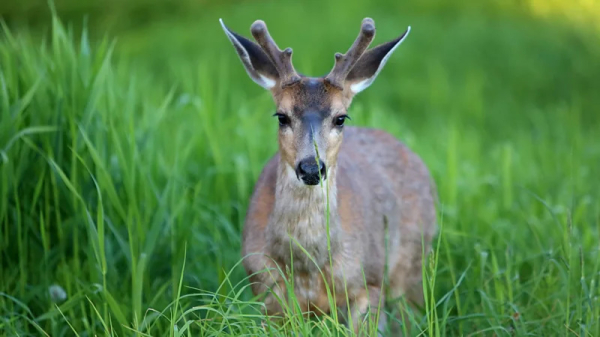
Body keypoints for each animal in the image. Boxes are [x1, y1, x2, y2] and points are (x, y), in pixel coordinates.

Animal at [220, 16, 436, 334]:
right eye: (281, 116)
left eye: (340, 118)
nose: (311, 167)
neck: (307, 269)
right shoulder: (265, 291)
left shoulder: (369, 282)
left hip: (414, 262)